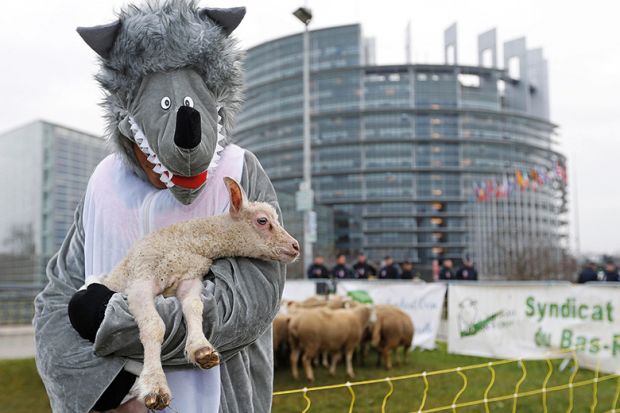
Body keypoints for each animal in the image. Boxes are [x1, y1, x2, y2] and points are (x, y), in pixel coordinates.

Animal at [94, 175, 300, 408]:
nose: (295, 247)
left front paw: (201, 349)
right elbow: (154, 326)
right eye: (263, 221)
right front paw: (155, 385)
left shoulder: (189, 277)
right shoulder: (141, 280)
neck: (186, 245)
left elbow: (194, 306)